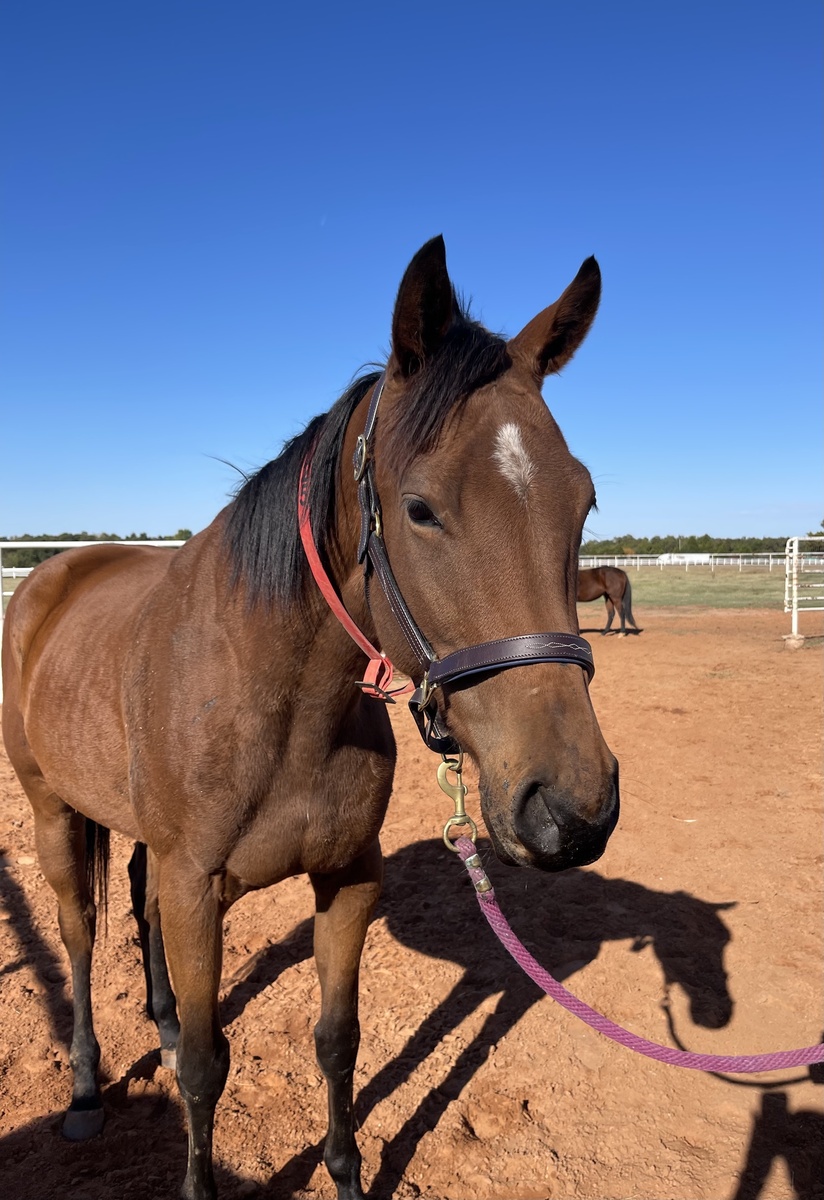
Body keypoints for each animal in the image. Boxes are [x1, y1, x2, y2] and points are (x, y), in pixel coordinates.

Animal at [1, 235, 619, 1200]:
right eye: (420, 508)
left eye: (582, 502)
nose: (571, 809)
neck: (278, 704)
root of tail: (51, 578)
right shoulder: (198, 887)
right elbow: (208, 1068)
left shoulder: (347, 879)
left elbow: (337, 1040)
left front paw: (345, 1170)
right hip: (54, 813)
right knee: (79, 936)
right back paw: (86, 1091)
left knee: (138, 905)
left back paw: (161, 1023)